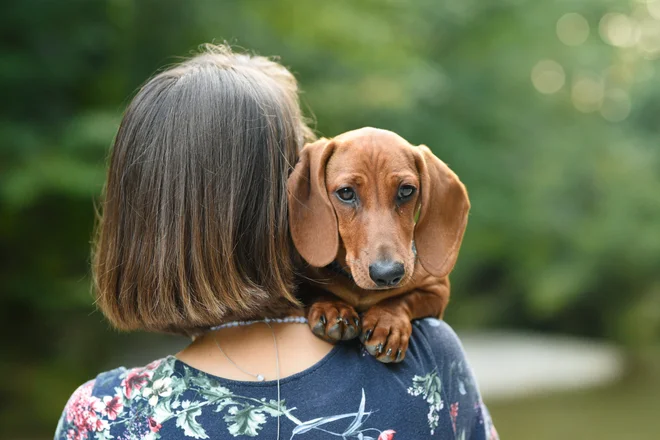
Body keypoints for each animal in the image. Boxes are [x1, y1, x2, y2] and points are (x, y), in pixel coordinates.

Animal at [288, 126, 470, 360]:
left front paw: (387, 323)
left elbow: (403, 298)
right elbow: (313, 289)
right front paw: (333, 307)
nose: (388, 274)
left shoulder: (437, 291)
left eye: (406, 190)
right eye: (346, 192)